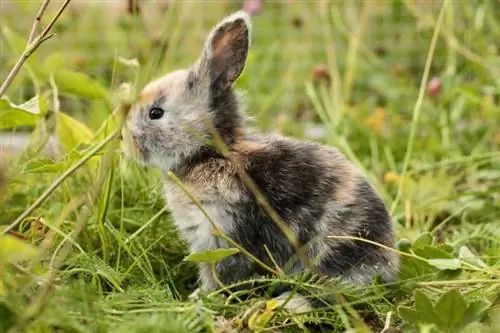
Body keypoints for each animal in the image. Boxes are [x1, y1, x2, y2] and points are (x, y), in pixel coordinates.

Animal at [122, 10, 398, 312]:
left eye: (156, 113)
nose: (126, 141)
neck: (211, 155)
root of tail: (387, 264)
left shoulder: (226, 235)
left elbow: (221, 275)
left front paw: (202, 299)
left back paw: (291, 304)